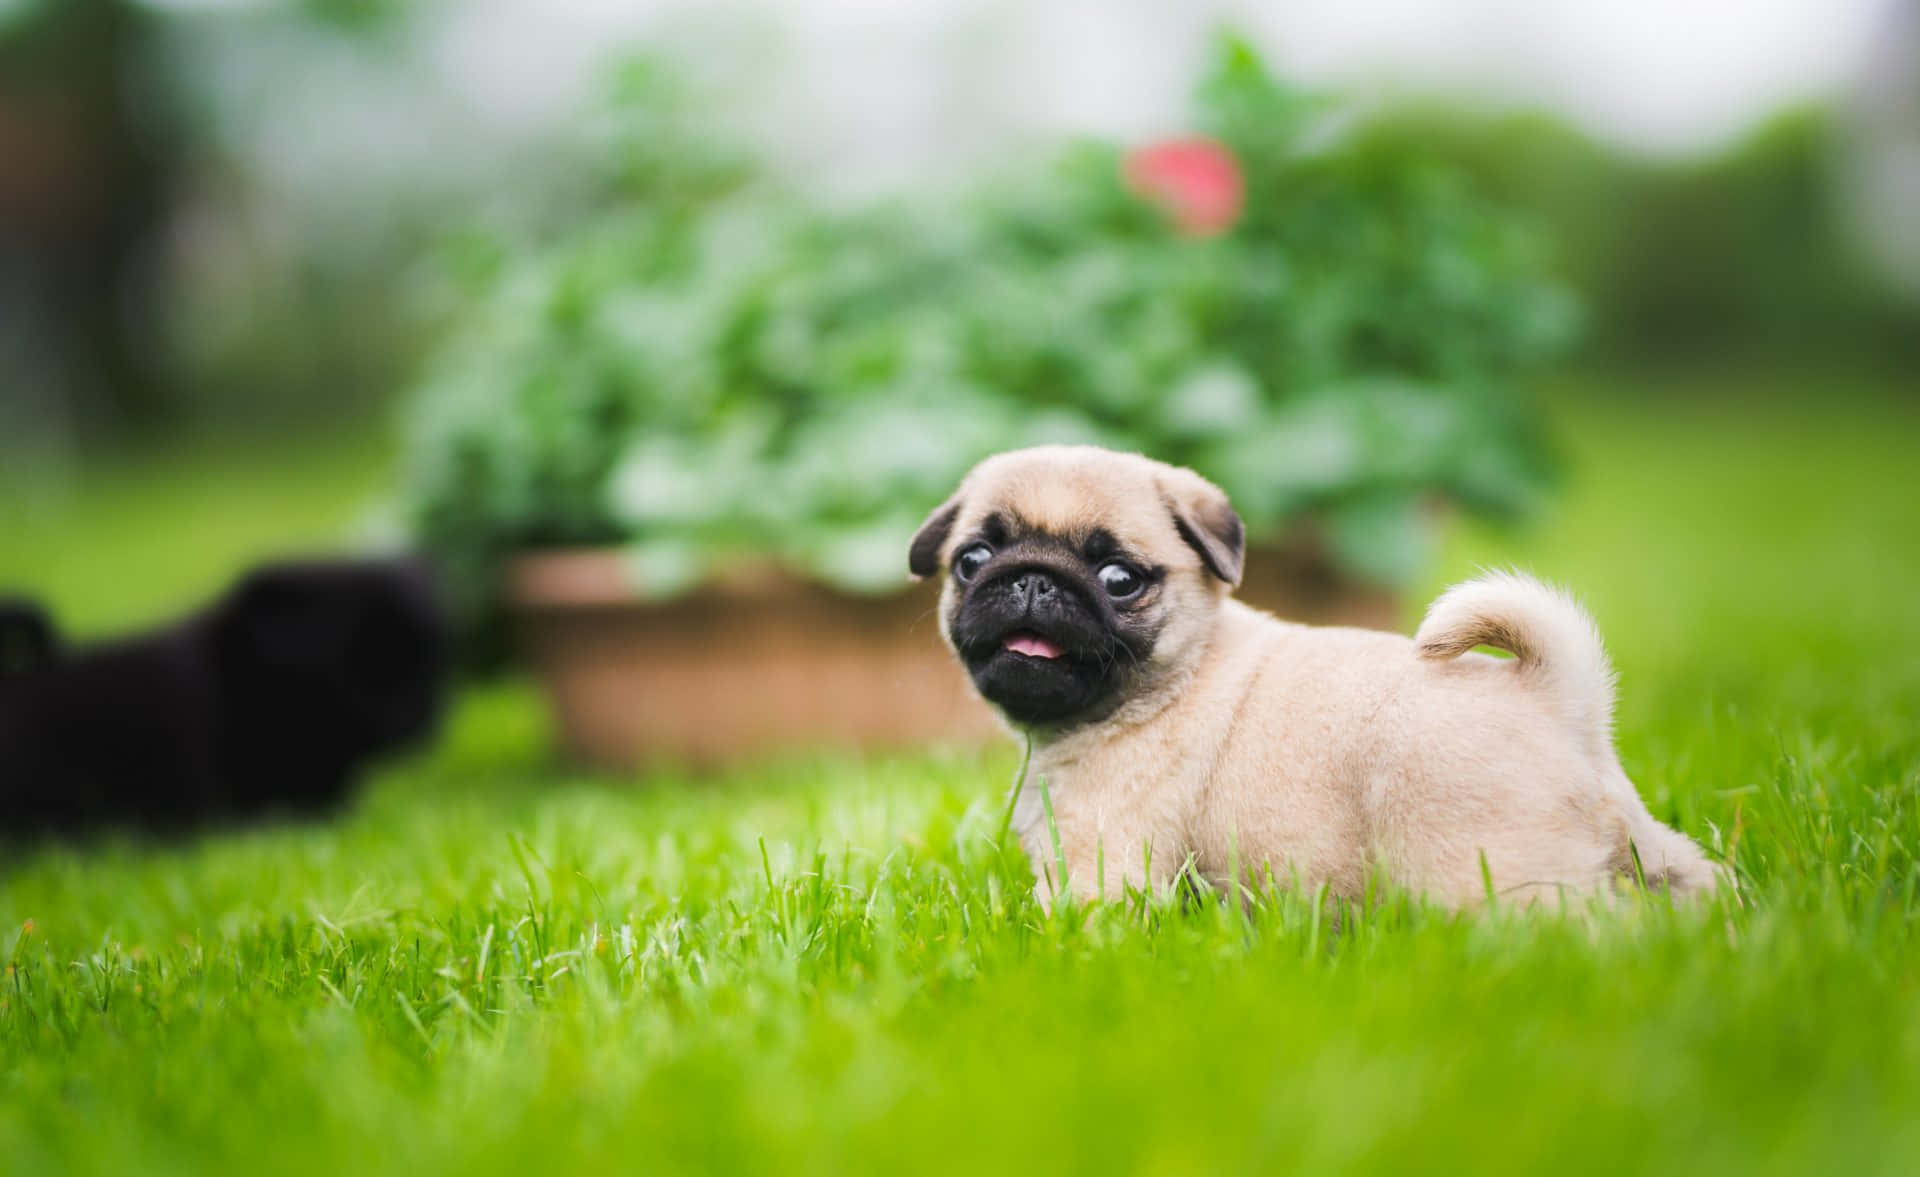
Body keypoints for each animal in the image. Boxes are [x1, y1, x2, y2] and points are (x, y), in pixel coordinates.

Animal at [913, 445, 1728, 902]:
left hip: (1491, 866)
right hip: (1640, 843)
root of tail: (1557, 694)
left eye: (1118, 578)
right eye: (973, 560)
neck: (1175, 674)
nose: (1032, 580)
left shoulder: (1101, 858)